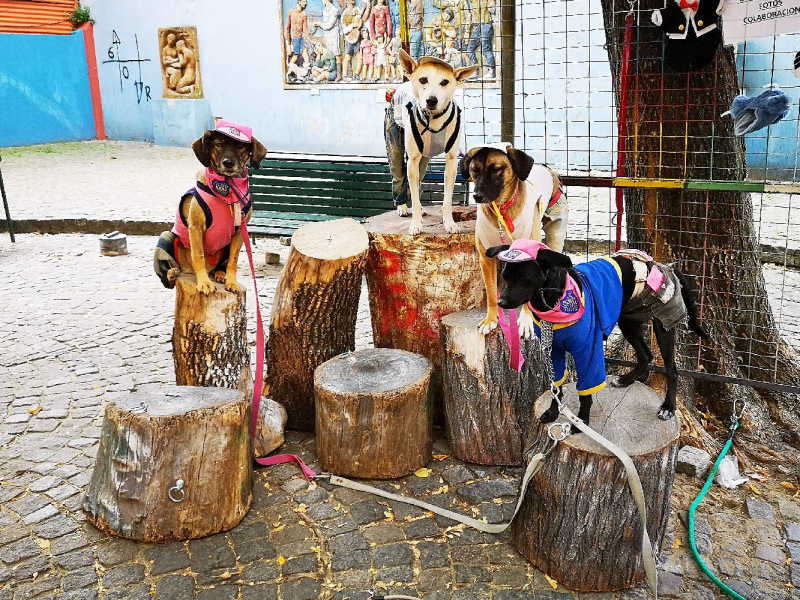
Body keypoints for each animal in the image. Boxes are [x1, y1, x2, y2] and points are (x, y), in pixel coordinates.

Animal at [153, 119, 268, 292]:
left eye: (241, 147)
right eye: (218, 144)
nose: (228, 163)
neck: (227, 188)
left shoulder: (239, 232)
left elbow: (233, 260)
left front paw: (232, 282)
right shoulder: (195, 227)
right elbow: (198, 255)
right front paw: (204, 283)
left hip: (226, 245)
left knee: (221, 265)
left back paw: (220, 274)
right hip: (166, 237)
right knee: (168, 279)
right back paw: (171, 274)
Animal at [456, 142, 568, 336]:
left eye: (497, 169)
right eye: (474, 170)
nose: (477, 195)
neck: (501, 210)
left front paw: (526, 320)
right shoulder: (485, 258)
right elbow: (491, 293)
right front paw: (491, 319)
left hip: (556, 232)